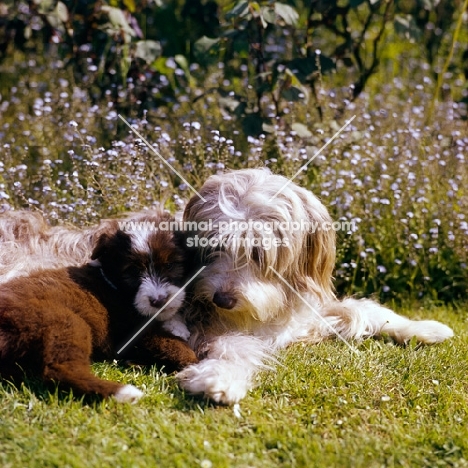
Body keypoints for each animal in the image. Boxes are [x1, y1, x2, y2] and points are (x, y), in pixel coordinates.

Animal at [0, 215, 197, 402]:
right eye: (133, 270)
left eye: (170, 264)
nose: (159, 301)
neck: (111, 282)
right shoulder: (132, 330)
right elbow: (174, 345)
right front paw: (195, 365)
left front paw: (177, 327)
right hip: (63, 322)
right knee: (60, 370)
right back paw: (124, 393)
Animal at [176, 169, 454, 406]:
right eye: (215, 246)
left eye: (257, 253)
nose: (222, 300)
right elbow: (234, 347)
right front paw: (218, 377)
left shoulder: (311, 312)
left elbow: (369, 311)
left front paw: (425, 328)